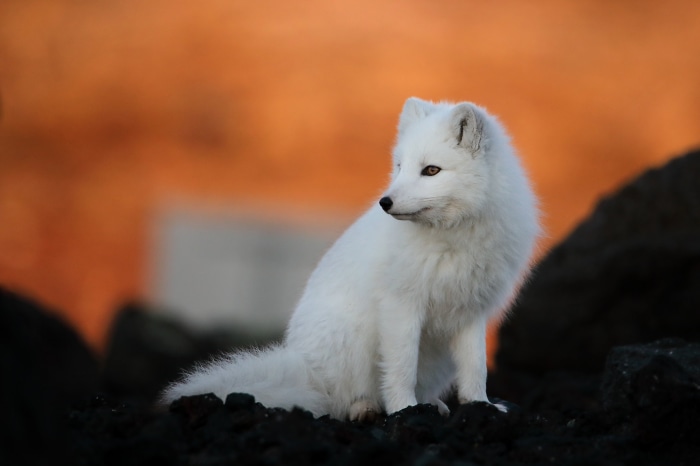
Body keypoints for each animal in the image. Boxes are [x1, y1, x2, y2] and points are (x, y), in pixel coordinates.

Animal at [161, 97, 540, 421]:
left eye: (431, 170)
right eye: (399, 167)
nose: (385, 202)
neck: (453, 239)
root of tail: (305, 367)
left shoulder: (471, 311)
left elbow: (476, 368)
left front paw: (481, 406)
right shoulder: (401, 306)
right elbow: (401, 367)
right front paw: (404, 410)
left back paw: (433, 403)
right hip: (352, 340)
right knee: (338, 401)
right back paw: (366, 408)